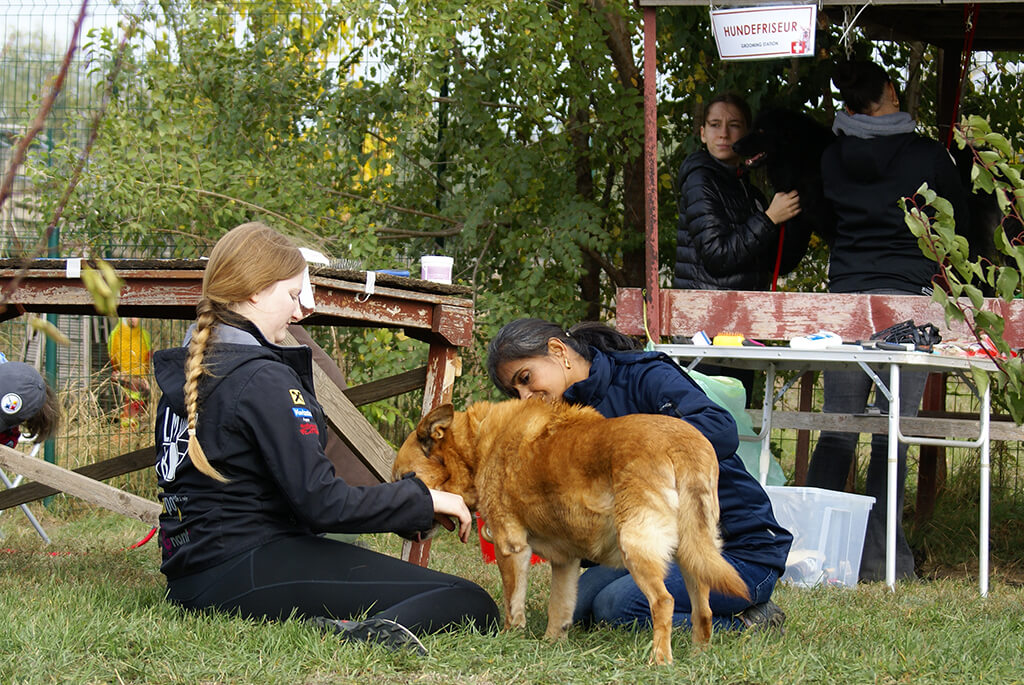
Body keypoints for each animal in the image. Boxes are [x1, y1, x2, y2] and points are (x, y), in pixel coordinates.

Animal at [393, 398, 750, 665]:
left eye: (406, 478)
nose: (401, 532)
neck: (476, 448)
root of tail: (682, 443)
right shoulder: (565, 562)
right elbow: (560, 607)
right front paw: (552, 644)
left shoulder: (511, 547)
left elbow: (512, 605)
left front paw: (511, 638)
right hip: (693, 556)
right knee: (703, 612)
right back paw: (698, 657)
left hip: (637, 547)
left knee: (664, 602)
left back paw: (659, 660)